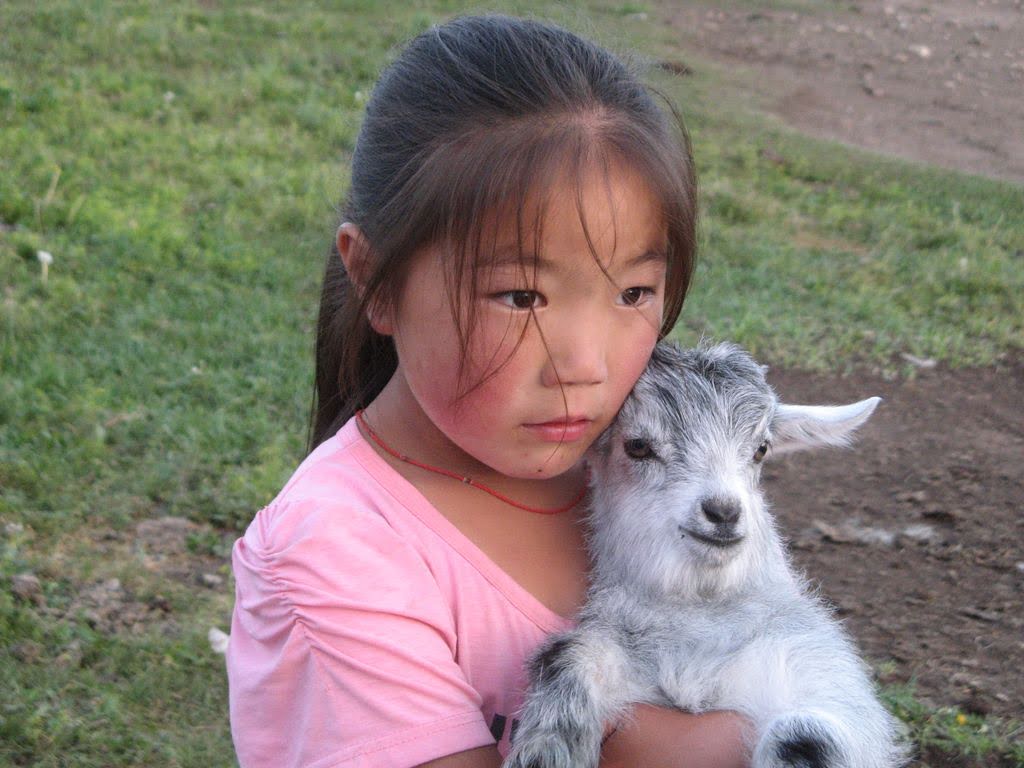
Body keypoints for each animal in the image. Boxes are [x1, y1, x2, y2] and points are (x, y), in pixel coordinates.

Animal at [503, 344, 905, 768]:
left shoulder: (818, 671)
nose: (724, 512)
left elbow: (805, 736)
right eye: (638, 446)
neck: (698, 625)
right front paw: (547, 749)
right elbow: (570, 654)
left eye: (762, 449)